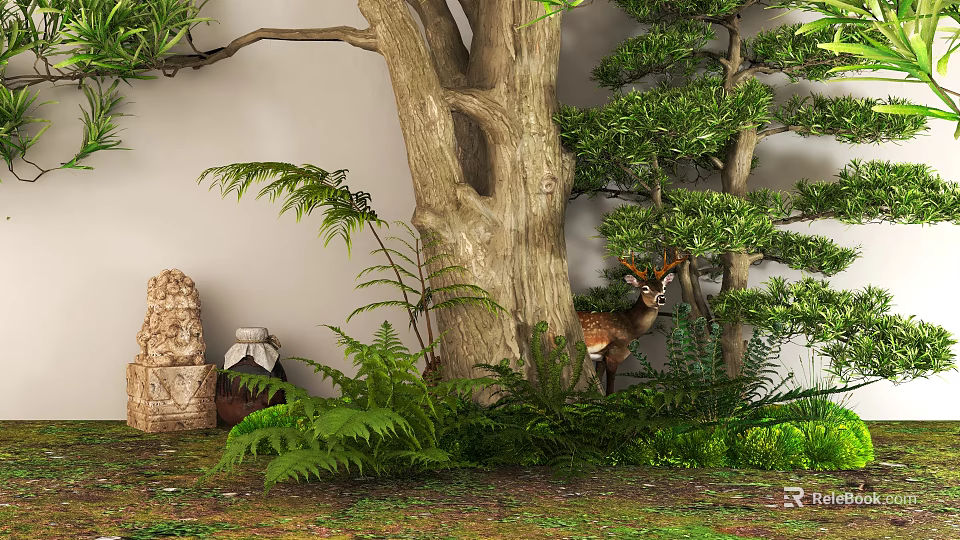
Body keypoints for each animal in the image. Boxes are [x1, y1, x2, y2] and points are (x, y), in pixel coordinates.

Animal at [577, 249, 688, 396]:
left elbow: (598, 381)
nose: (661, 298)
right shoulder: (614, 353)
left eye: (664, 287)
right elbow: (610, 391)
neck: (631, 326)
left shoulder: (601, 358)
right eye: (645, 288)